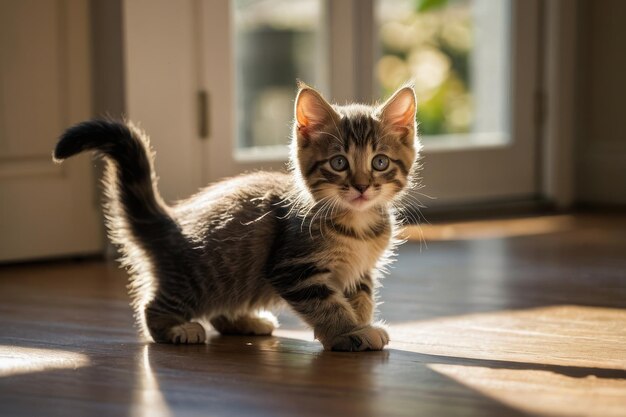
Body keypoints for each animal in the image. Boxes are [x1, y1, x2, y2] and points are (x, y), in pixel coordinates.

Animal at [53, 83, 420, 350]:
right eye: (339, 163)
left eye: (380, 162)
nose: (362, 186)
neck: (357, 226)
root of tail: (172, 221)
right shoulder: (293, 268)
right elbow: (327, 304)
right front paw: (349, 333)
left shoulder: (360, 270)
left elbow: (361, 298)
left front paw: (361, 322)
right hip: (201, 278)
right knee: (151, 308)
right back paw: (176, 330)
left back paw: (245, 321)